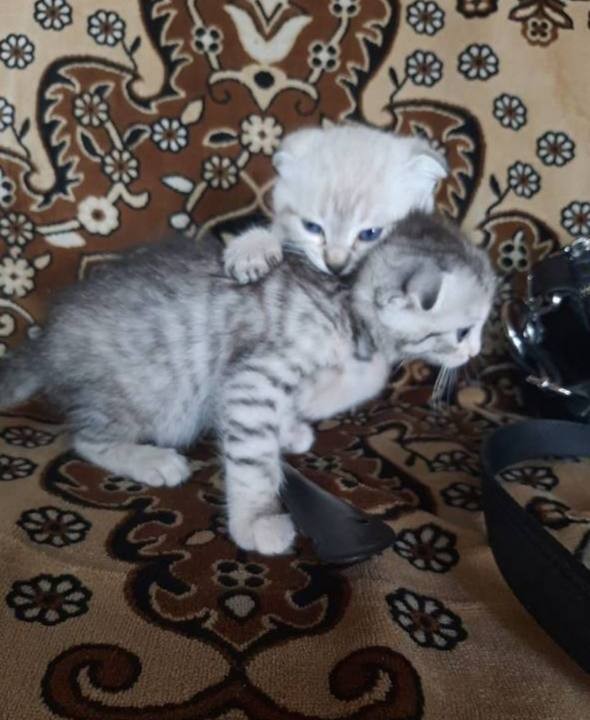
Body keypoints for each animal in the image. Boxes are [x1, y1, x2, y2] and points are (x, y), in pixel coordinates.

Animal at [0, 213, 494, 555]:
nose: (474, 353)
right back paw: (152, 460)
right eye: (463, 331)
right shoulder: (253, 379)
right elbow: (253, 457)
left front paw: (290, 429)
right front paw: (255, 521)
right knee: (86, 438)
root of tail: (47, 341)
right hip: (146, 396)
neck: (346, 308)